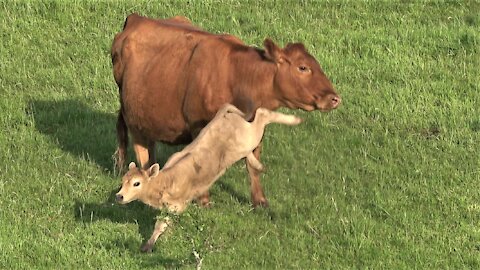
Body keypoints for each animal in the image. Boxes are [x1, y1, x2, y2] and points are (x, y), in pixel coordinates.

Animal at [111, 13, 342, 208]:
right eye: (303, 67)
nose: (334, 98)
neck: (239, 77)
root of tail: (136, 18)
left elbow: (253, 163)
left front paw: (260, 201)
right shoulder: (199, 126)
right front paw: (204, 201)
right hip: (132, 113)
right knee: (132, 138)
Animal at [115, 104, 300, 253]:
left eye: (136, 183)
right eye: (123, 181)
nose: (119, 196)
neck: (166, 181)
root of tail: (224, 115)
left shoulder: (177, 205)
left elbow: (161, 225)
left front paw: (150, 245)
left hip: (250, 136)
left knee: (262, 113)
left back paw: (295, 119)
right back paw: (259, 164)